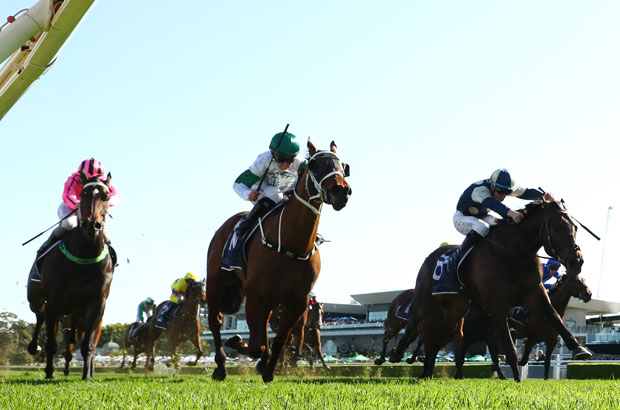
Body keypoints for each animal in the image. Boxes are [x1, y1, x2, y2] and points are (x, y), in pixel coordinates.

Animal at [26, 174, 115, 382]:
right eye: (83, 194)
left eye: (106, 196)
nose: (92, 225)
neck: (84, 255)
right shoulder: (54, 301)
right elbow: (51, 343)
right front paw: (49, 371)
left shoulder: (96, 303)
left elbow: (87, 344)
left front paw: (86, 376)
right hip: (36, 298)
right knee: (39, 315)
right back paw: (34, 347)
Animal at [207, 139, 352, 382]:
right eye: (315, 166)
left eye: (343, 166)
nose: (340, 191)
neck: (292, 245)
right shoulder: (255, 295)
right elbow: (257, 345)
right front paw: (236, 341)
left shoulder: (297, 302)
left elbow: (280, 341)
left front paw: (268, 370)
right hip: (217, 283)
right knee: (215, 321)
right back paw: (220, 367)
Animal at [392, 199, 592, 382]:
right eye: (557, 228)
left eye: (575, 227)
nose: (577, 261)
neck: (514, 252)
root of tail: (430, 257)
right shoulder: (498, 307)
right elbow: (511, 350)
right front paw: (517, 381)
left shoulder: (535, 294)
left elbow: (553, 317)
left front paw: (579, 349)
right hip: (425, 299)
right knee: (413, 324)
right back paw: (398, 354)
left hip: (455, 310)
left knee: (438, 340)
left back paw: (428, 372)